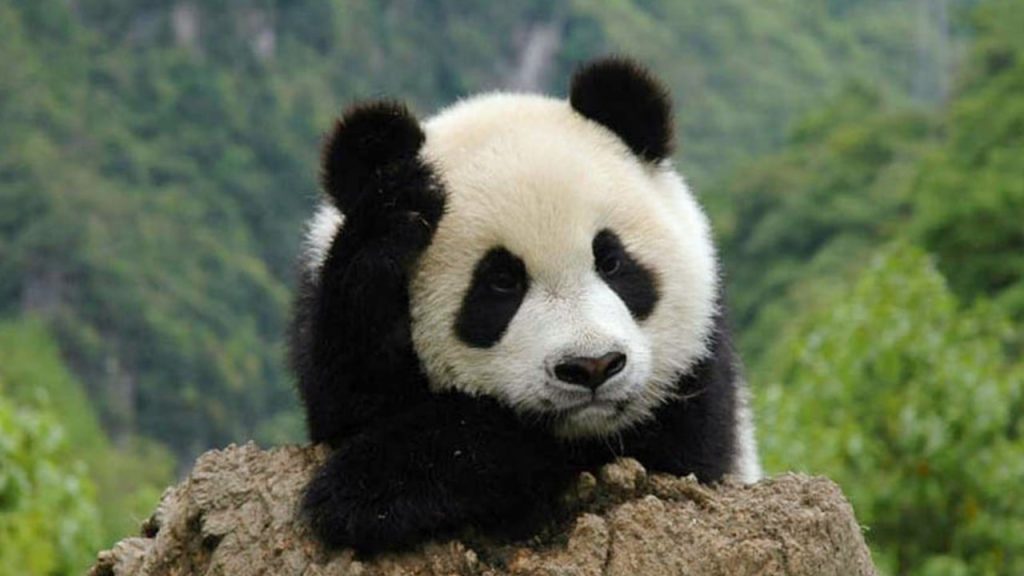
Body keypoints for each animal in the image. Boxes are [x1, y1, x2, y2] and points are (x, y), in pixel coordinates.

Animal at [291, 57, 760, 553]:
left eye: (611, 261)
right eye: (501, 283)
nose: (592, 366)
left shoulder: (698, 385)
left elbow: (650, 452)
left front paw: (366, 487)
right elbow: (349, 383)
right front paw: (395, 207)